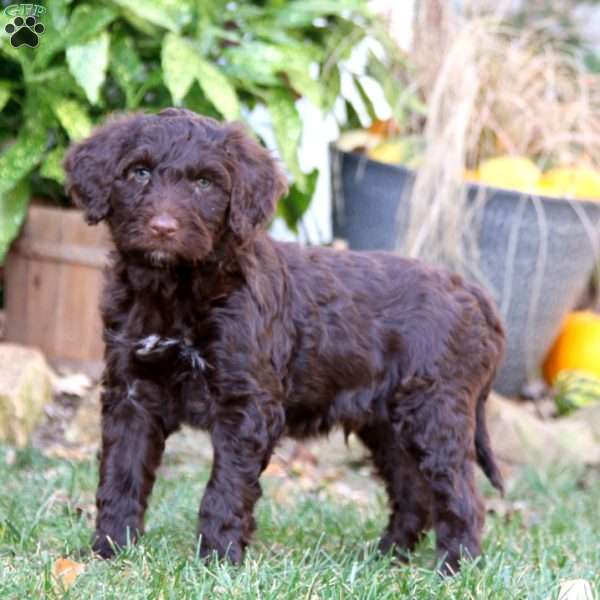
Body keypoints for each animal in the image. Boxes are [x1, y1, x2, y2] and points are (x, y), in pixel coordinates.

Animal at [65, 106, 504, 572]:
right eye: (139, 172)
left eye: (204, 183)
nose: (163, 228)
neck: (174, 289)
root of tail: (471, 291)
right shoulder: (131, 393)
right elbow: (121, 475)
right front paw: (109, 551)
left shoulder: (247, 404)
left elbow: (225, 489)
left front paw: (217, 560)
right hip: (387, 423)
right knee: (413, 491)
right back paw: (386, 559)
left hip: (436, 410)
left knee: (463, 496)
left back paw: (455, 568)